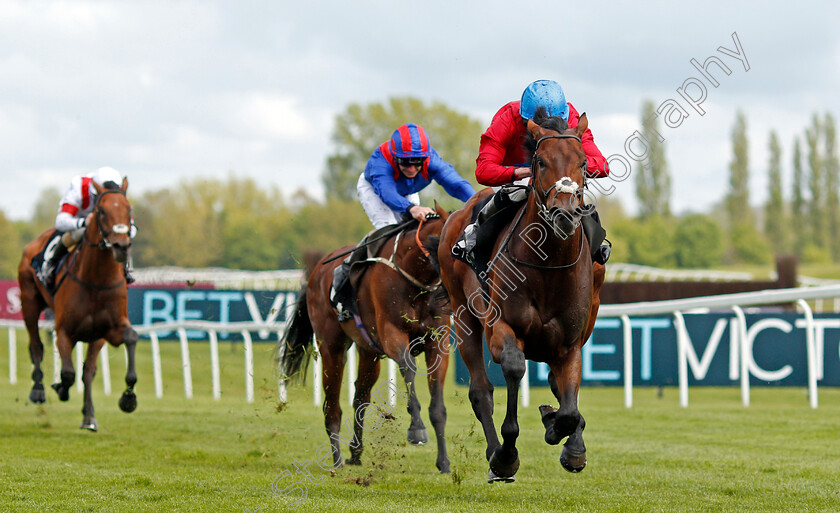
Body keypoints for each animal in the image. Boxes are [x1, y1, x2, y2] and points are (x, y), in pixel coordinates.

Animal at [17, 178, 139, 430]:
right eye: (101, 211)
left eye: (129, 209)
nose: (121, 246)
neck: (96, 281)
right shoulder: (64, 330)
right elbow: (67, 373)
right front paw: (60, 388)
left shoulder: (107, 331)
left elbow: (129, 341)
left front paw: (127, 399)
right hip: (29, 302)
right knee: (36, 346)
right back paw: (38, 390)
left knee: (87, 370)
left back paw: (89, 416)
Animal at [278, 203, 452, 472]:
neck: (416, 278)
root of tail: (316, 270)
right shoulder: (393, 335)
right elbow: (409, 369)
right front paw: (417, 430)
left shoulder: (438, 342)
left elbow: (438, 405)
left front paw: (443, 461)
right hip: (332, 347)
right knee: (332, 406)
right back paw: (337, 459)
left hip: (369, 351)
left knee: (360, 395)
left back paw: (355, 452)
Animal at [440, 111, 604, 480]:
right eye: (540, 161)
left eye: (584, 163)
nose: (564, 214)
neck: (548, 266)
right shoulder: (501, 328)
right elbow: (514, 369)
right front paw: (506, 454)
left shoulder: (571, 342)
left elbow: (569, 403)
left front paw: (567, 439)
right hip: (463, 314)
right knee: (481, 391)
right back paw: (494, 455)